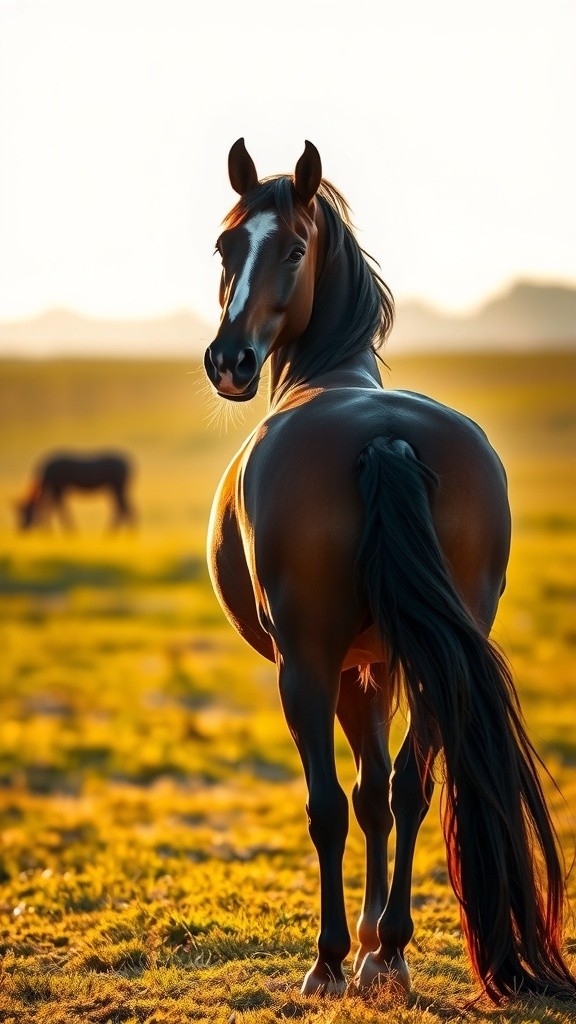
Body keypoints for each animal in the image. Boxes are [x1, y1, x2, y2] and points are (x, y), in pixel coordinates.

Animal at [203, 138, 576, 1004]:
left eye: (293, 249)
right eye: (225, 247)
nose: (229, 361)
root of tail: (386, 436)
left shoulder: (342, 666)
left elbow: (351, 799)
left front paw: (352, 950)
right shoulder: (380, 664)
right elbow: (380, 793)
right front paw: (383, 945)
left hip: (305, 667)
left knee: (327, 804)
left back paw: (330, 959)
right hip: (436, 658)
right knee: (410, 787)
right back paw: (390, 951)